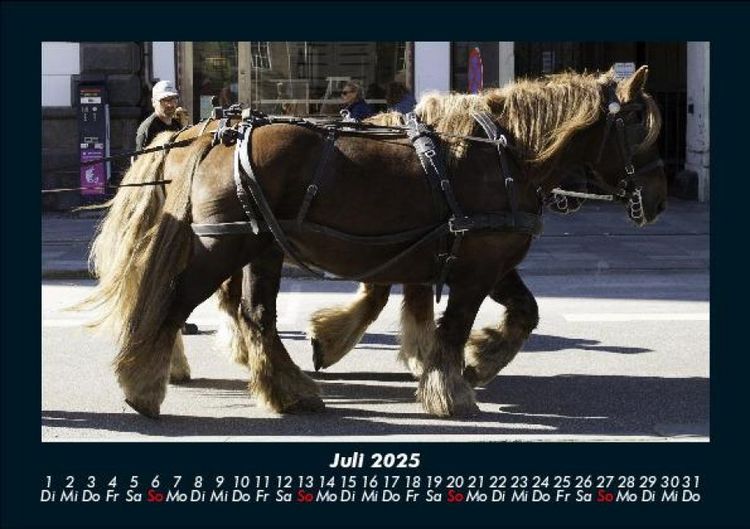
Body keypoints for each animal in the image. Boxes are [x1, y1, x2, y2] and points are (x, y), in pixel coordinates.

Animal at [81, 65, 665, 419]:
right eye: (638, 123)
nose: (658, 199)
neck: (503, 151)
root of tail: (211, 134)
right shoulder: (475, 266)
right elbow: (453, 326)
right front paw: (451, 389)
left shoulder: (482, 257)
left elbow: (522, 313)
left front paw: (477, 362)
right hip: (224, 247)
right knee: (177, 302)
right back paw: (142, 382)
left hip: (259, 247)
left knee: (254, 314)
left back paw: (286, 388)